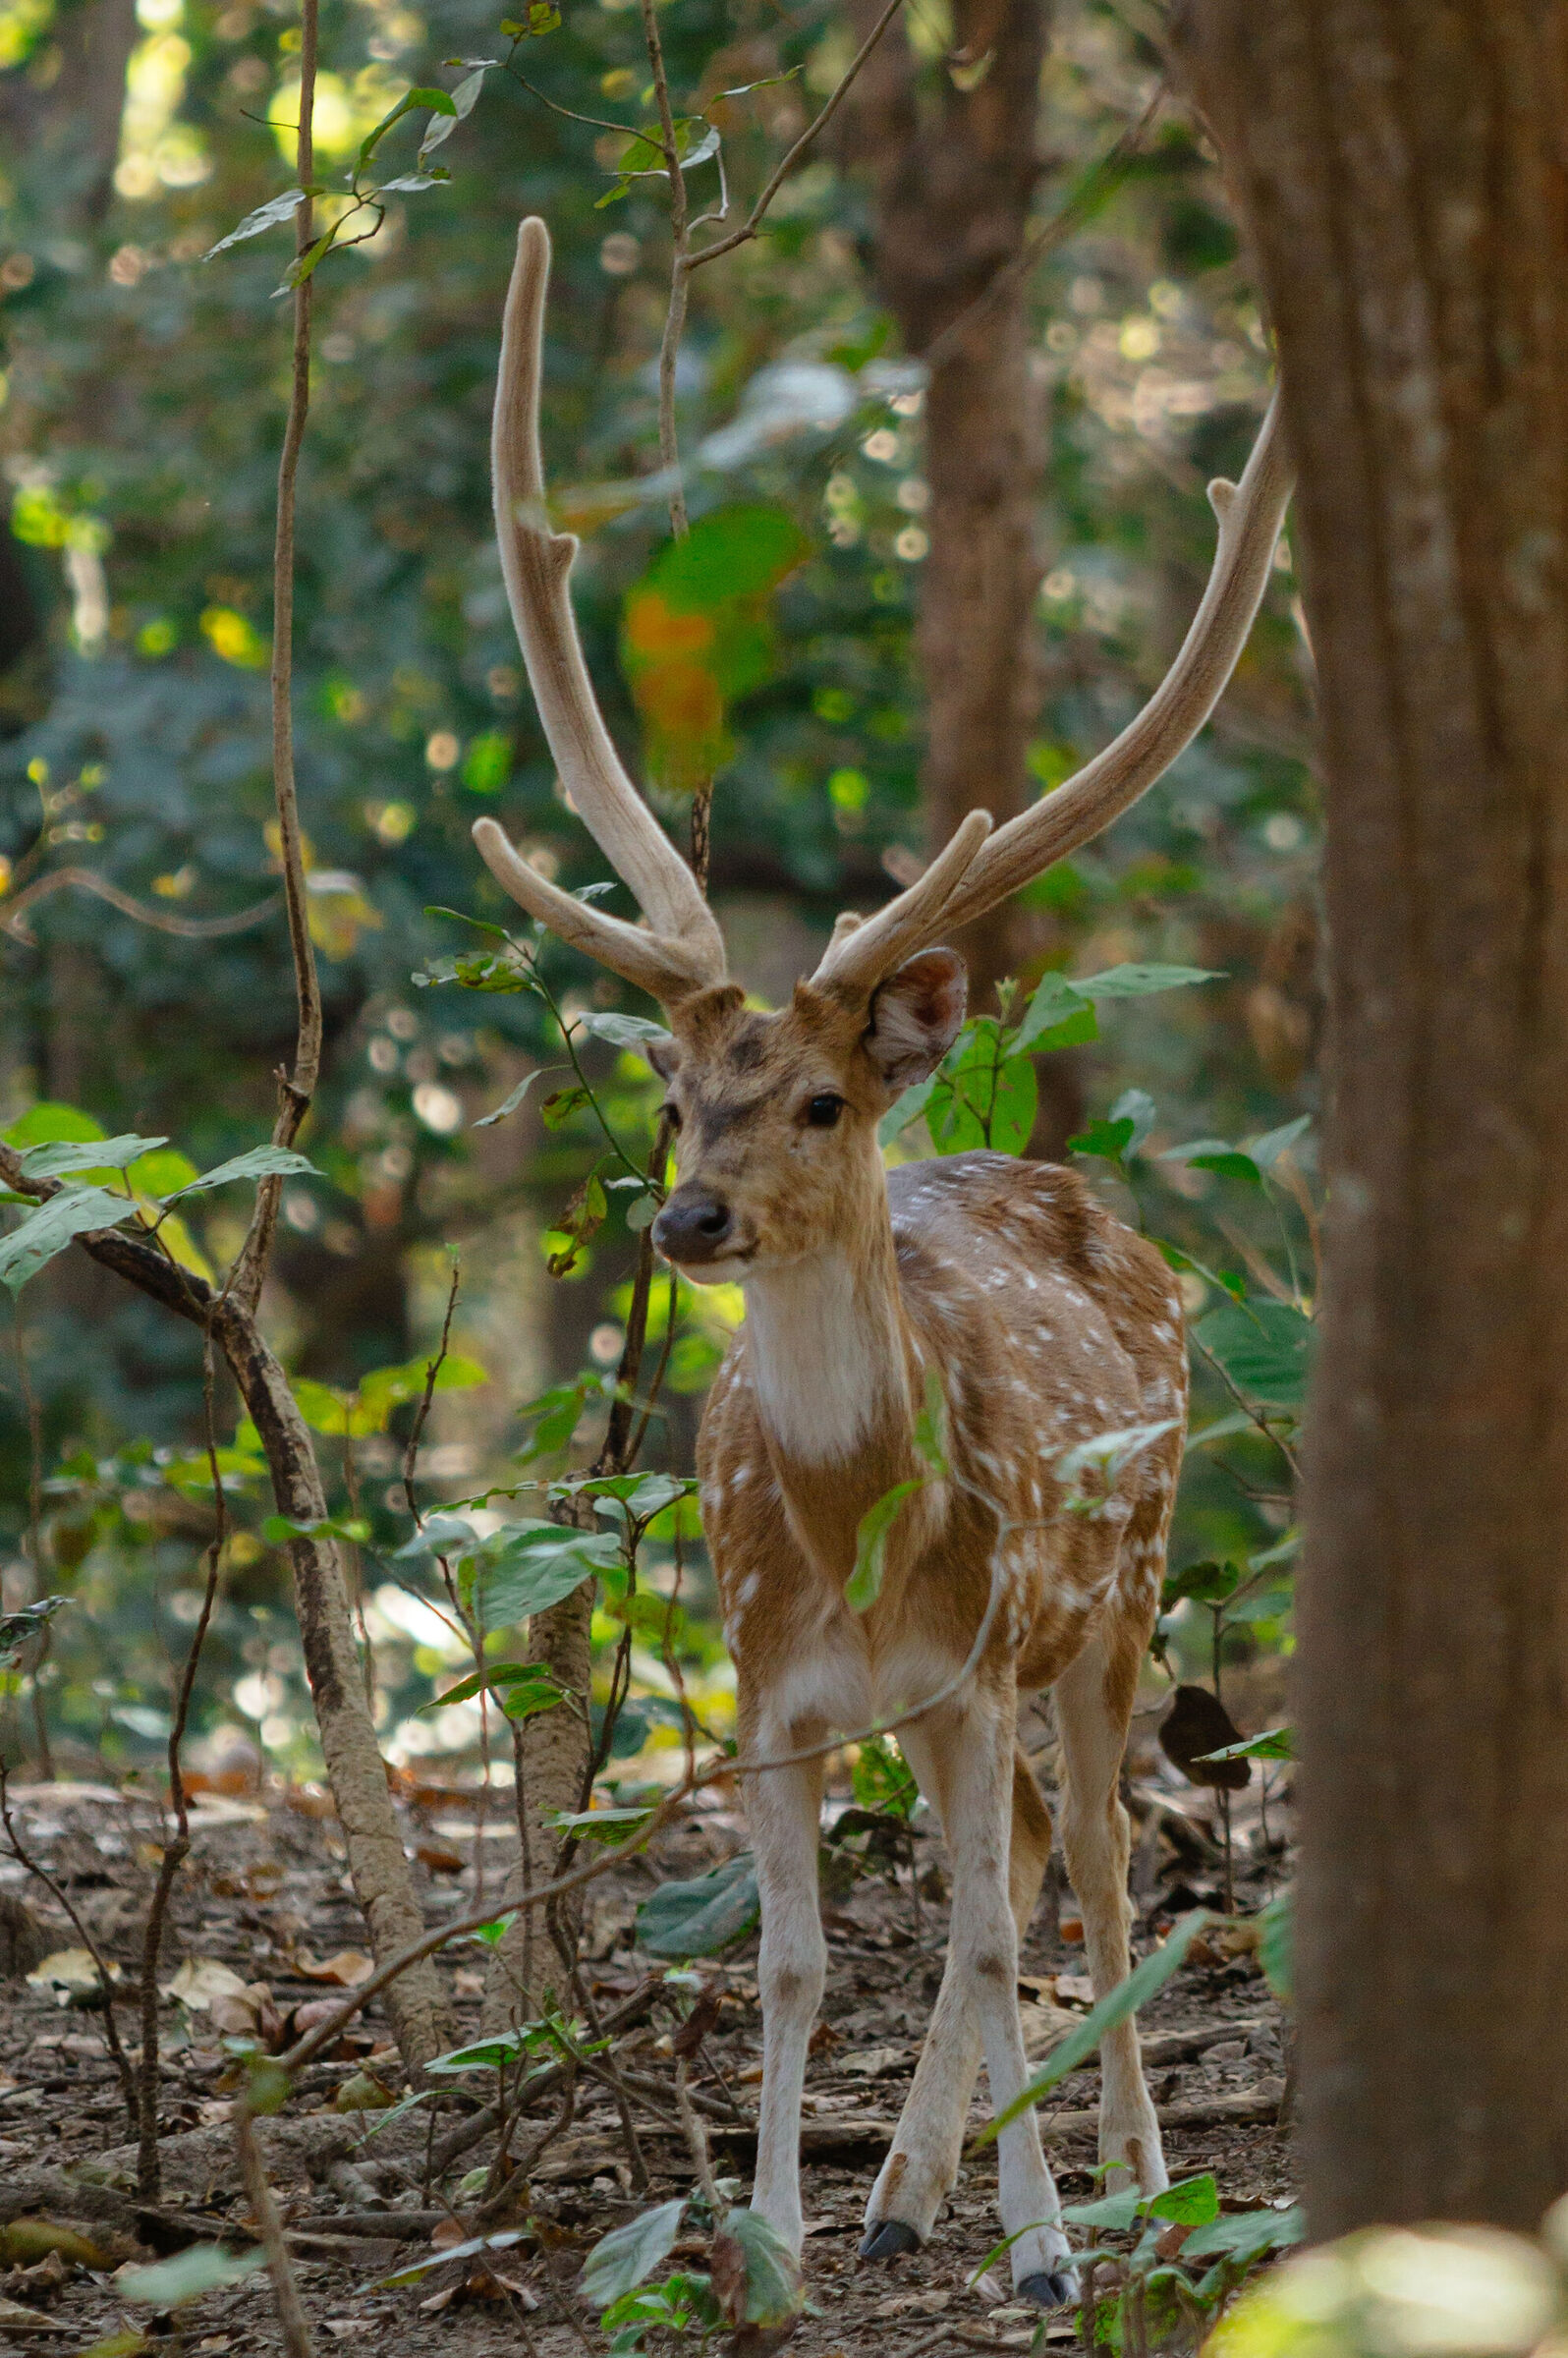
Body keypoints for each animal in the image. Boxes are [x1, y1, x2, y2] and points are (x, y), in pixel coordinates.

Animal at [472, 218, 1293, 2307]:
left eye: (825, 1098)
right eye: (677, 1093)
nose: (687, 1218)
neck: (848, 1523)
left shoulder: (980, 1648)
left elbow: (999, 1929)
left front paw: (1049, 2248)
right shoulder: (765, 1684)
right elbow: (789, 1956)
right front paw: (767, 2234)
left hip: (1117, 1593)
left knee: (1095, 1864)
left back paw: (1114, 2179)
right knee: (1016, 1857)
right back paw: (907, 2187)